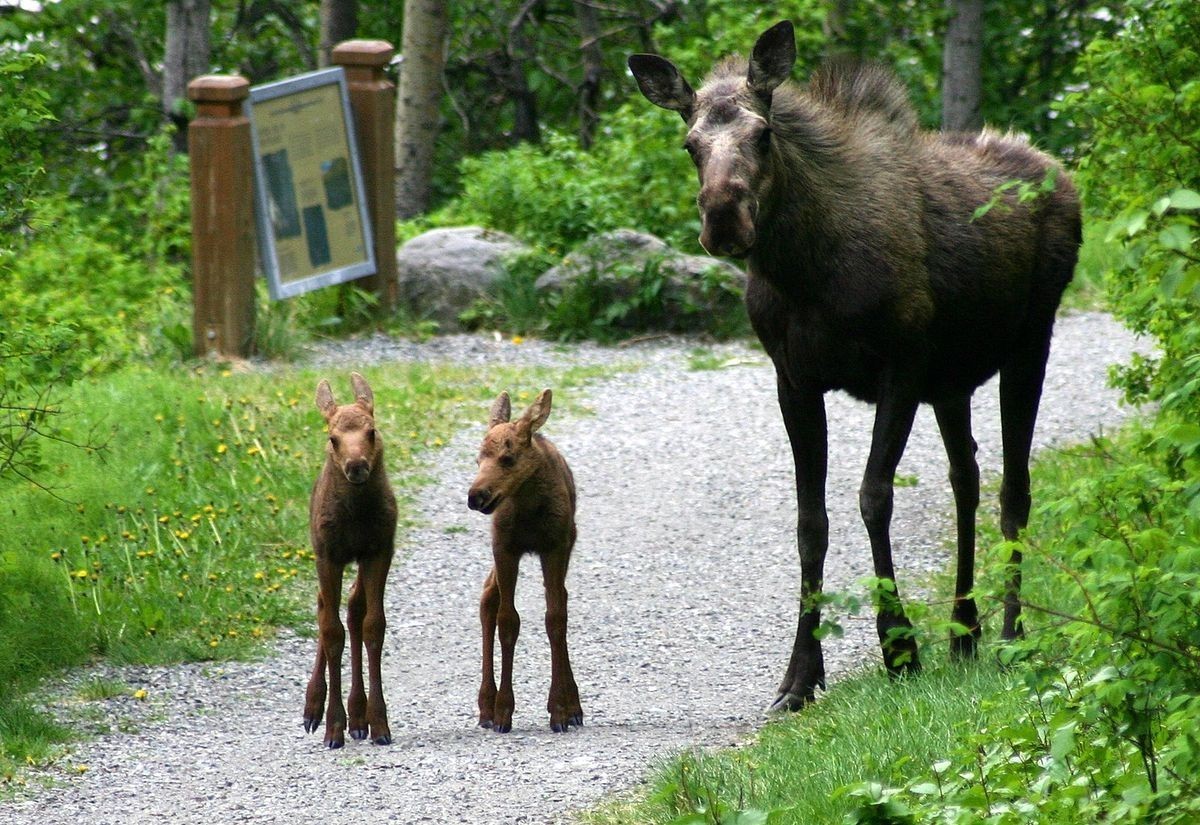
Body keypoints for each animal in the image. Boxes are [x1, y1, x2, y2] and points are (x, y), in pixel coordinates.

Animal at [465, 390, 583, 733]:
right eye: (478, 460)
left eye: (508, 458)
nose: (476, 496)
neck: (529, 512)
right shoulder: (504, 547)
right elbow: (508, 620)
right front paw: (503, 710)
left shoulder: (554, 546)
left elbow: (555, 618)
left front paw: (560, 710)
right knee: (488, 598)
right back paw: (486, 707)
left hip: (567, 543)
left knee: (560, 601)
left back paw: (575, 705)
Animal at [628, 22, 1080, 709]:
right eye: (690, 143)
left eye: (763, 133)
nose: (723, 218)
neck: (804, 270)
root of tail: (1061, 173)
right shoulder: (794, 380)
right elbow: (809, 522)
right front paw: (799, 675)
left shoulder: (902, 367)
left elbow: (873, 497)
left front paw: (899, 648)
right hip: (952, 383)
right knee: (967, 479)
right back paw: (963, 631)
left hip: (1031, 341)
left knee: (1014, 488)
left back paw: (1008, 635)